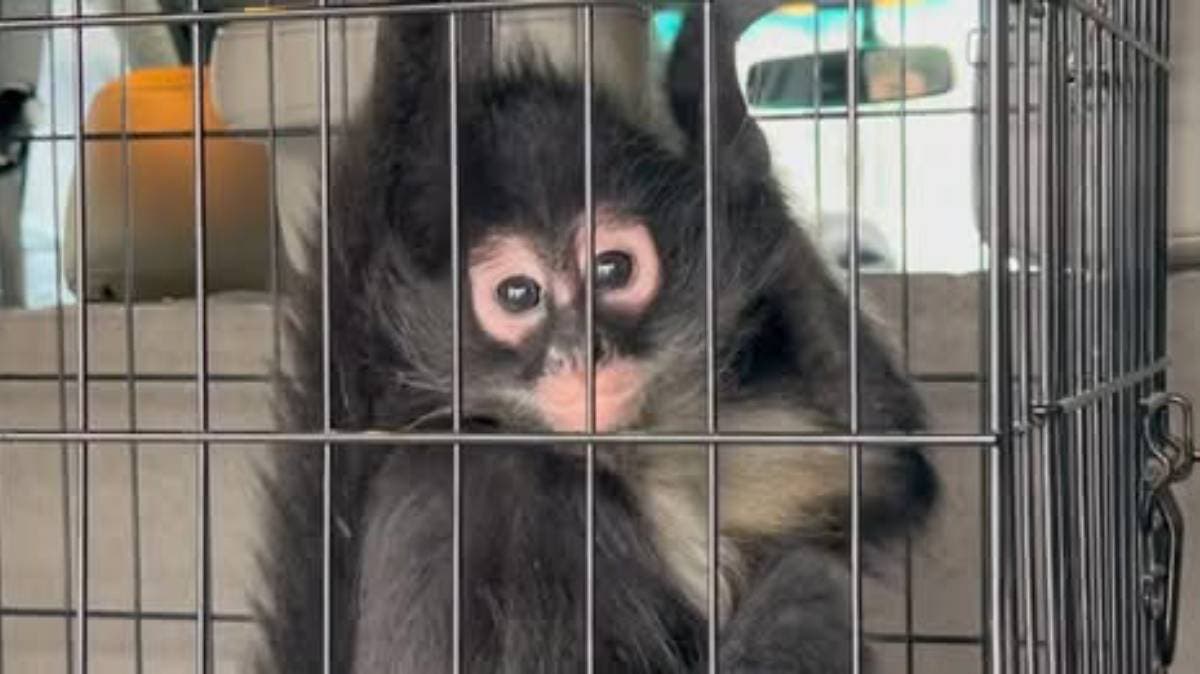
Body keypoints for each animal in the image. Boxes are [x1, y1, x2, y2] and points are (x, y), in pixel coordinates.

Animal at [255, 2, 938, 672]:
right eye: (518, 295)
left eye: (613, 269)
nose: (583, 353)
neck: (615, 457)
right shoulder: (482, 478)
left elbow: (887, 466)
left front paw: (711, 99)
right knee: (810, 590)